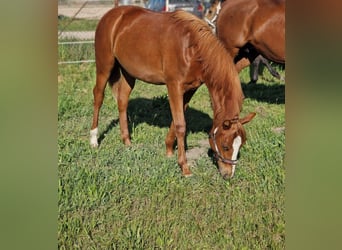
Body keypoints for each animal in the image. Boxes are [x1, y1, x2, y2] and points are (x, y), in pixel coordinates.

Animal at [89, 5, 255, 178]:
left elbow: (176, 122)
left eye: (241, 145)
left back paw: (127, 141)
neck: (192, 47)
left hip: (129, 73)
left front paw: (169, 150)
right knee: (98, 97)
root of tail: (112, 14)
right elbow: (181, 125)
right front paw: (184, 167)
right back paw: (93, 140)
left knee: (122, 101)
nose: (228, 175)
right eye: (225, 146)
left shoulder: (190, 89)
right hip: (104, 67)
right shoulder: (174, 86)